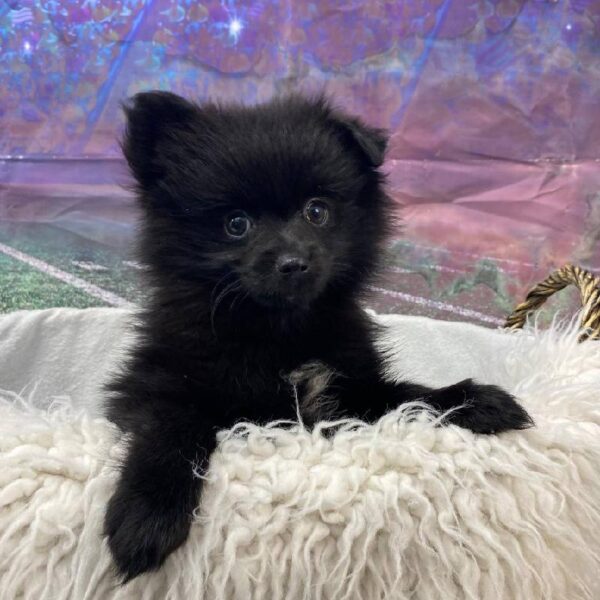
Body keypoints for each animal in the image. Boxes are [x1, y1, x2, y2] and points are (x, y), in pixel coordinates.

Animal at [105, 92, 532, 580]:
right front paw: (147, 515)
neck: (282, 334)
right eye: (236, 224)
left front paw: (473, 400)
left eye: (317, 211)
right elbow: (170, 431)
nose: (293, 262)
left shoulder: (351, 392)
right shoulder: (158, 386)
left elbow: (408, 396)